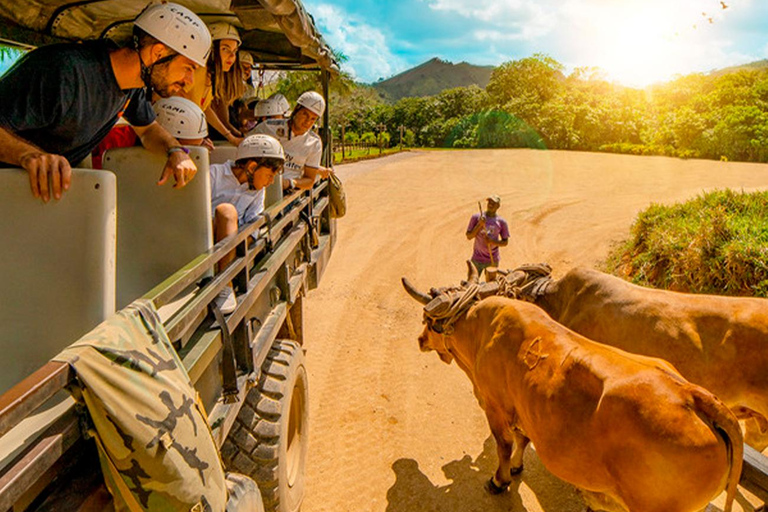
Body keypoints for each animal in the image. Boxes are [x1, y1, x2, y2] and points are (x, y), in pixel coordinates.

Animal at [404, 264, 740, 512]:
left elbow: (504, 445)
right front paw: (516, 468)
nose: (419, 340)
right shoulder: (525, 408)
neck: (479, 331)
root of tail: (693, 397)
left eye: (427, 320)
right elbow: (522, 440)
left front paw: (499, 481)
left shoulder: (495, 405)